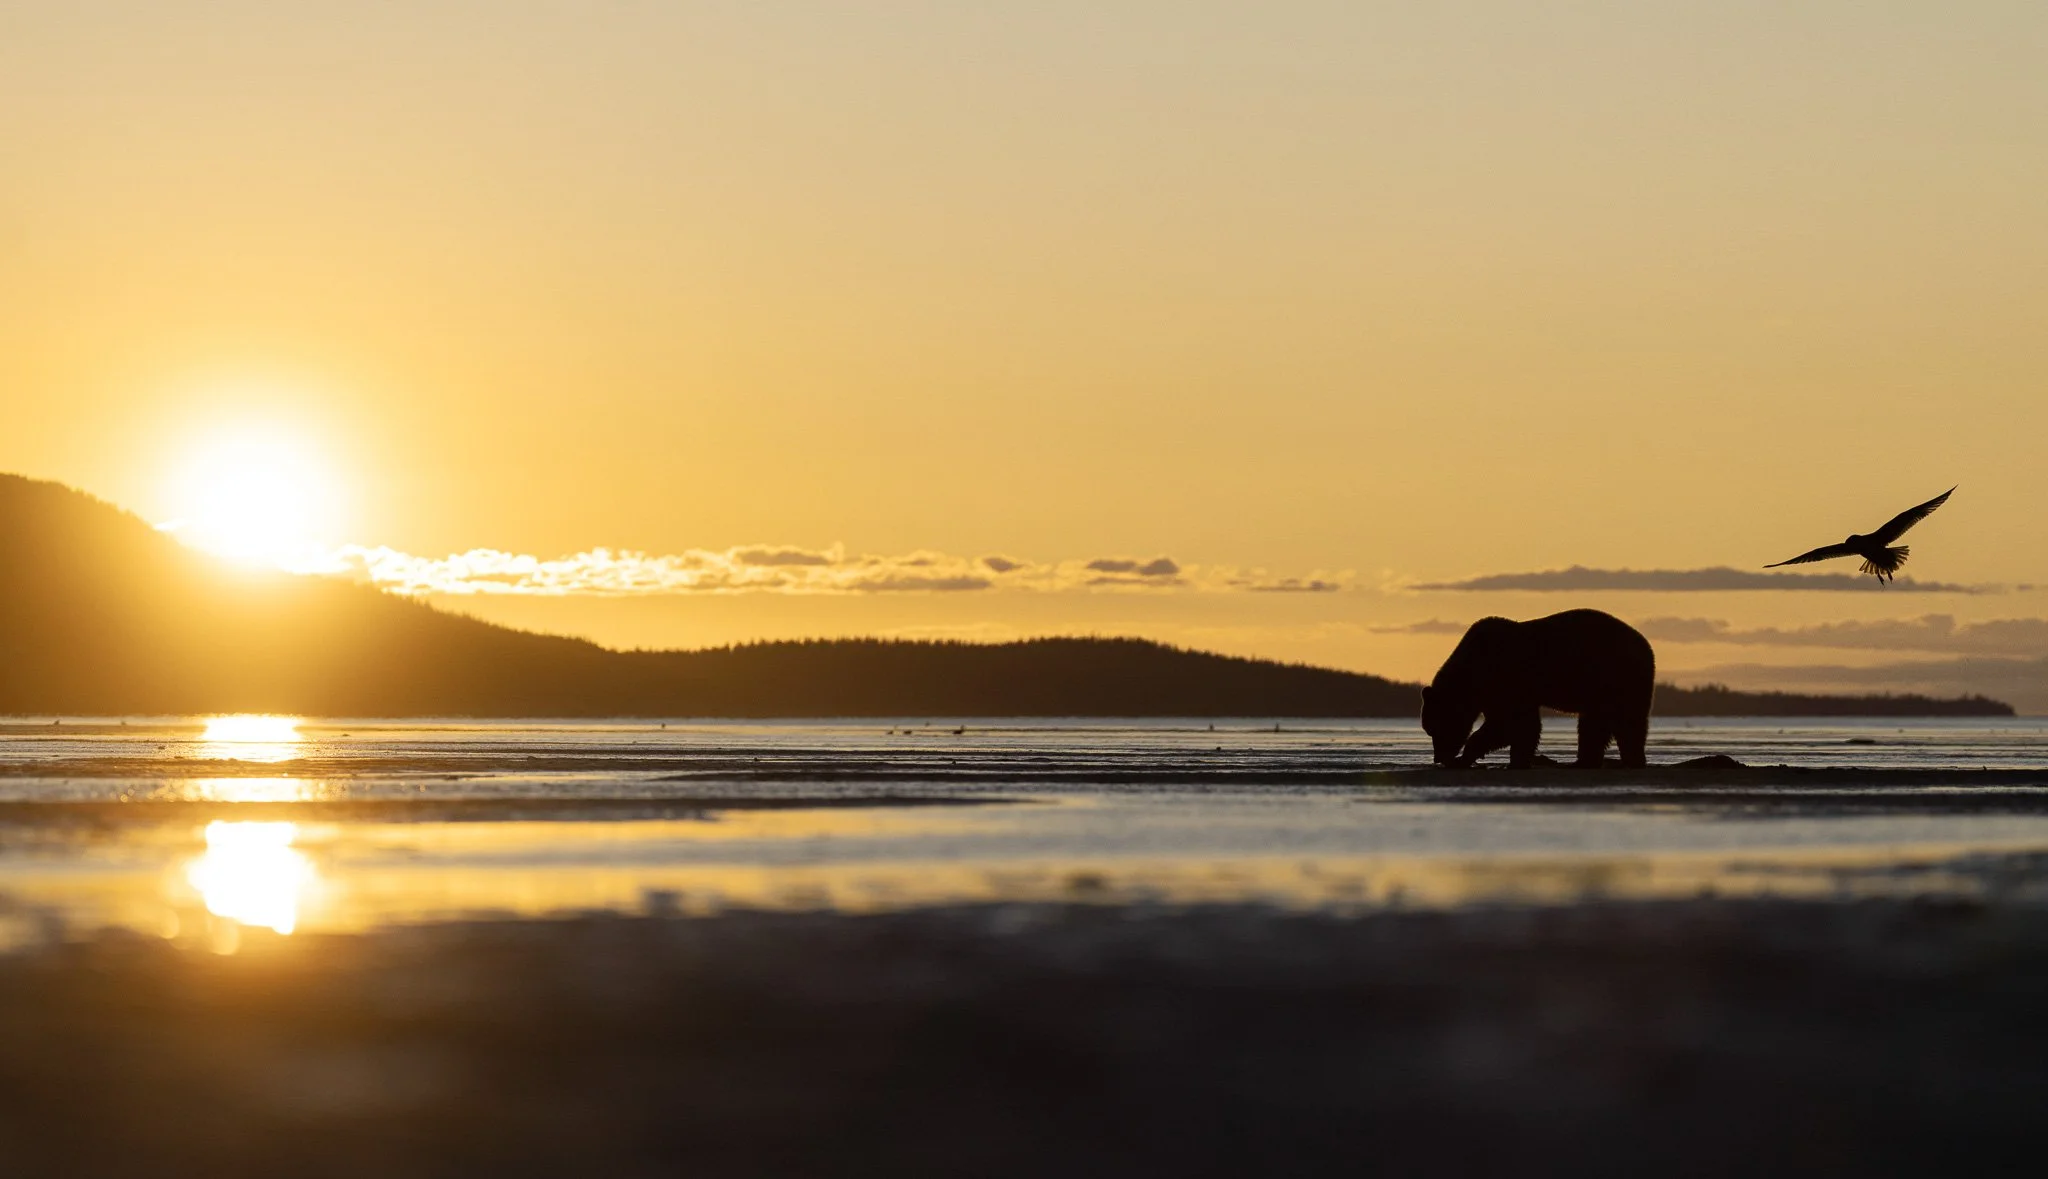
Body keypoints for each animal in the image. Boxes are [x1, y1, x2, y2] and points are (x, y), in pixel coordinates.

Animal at [1421, 609, 1654, 769]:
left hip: (1616, 677)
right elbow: (1519, 725)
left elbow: (1511, 724)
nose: (1438, 758)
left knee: (1625, 721)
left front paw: (1467, 757)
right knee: (1598, 724)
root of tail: (1645, 645)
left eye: (1434, 727)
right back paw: (1590, 761)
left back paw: (1623, 759)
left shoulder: (1504, 680)